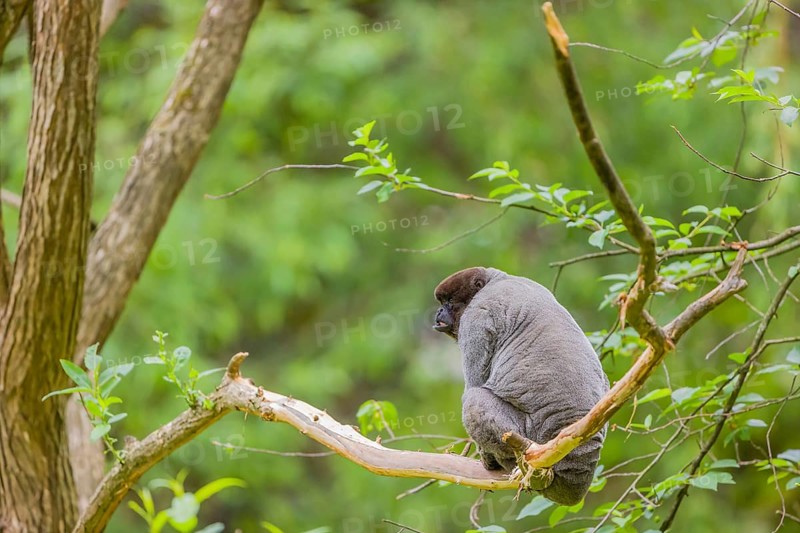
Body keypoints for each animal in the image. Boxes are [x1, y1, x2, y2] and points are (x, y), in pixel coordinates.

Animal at [433, 266, 609, 505]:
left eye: (449, 301)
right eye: (442, 302)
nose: (439, 311)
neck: (494, 280)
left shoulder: (476, 316)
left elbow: (475, 383)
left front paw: (485, 457)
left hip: (529, 434)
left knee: (474, 400)